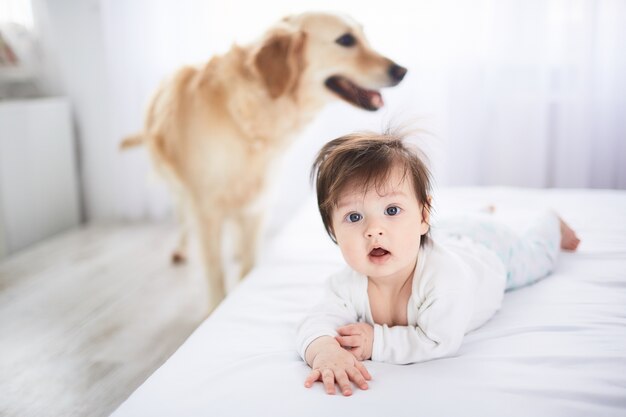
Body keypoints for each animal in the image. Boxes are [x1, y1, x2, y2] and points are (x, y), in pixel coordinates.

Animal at [120, 10, 408, 308]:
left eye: (364, 35)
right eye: (346, 40)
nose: (401, 71)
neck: (252, 112)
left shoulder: (259, 202)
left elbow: (249, 262)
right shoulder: (205, 207)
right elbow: (214, 269)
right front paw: (216, 306)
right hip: (177, 183)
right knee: (181, 215)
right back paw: (181, 247)